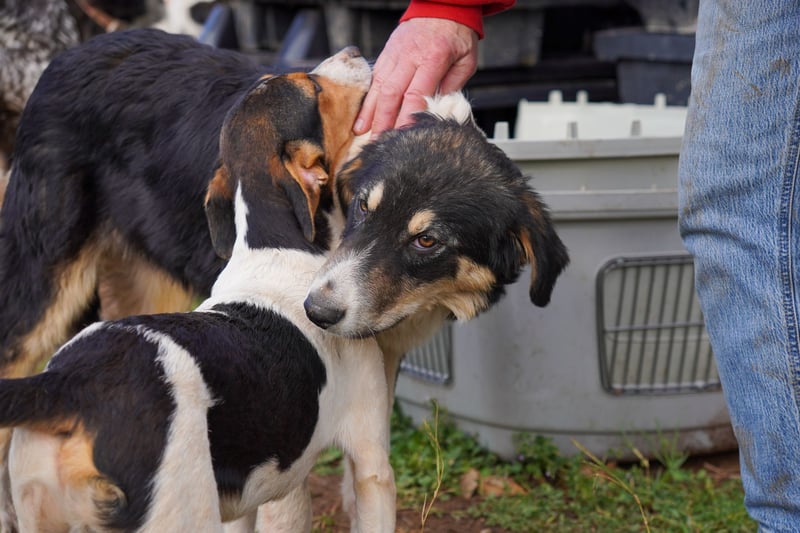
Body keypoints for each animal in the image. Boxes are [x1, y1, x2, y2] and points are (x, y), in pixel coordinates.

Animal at [0, 41, 394, 532]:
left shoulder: (247, 491)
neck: (272, 244)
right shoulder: (369, 460)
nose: (354, 51)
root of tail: (66, 385)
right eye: (314, 88)